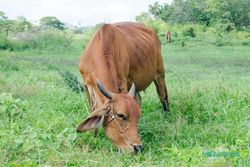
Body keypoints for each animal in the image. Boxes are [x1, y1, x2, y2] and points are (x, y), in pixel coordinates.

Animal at [77, 22, 169, 154]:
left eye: (138, 117)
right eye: (121, 115)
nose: (138, 147)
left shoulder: (123, 81)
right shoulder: (86, 85)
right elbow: (92, 109)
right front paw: (94, 135)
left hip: (159, 73)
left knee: (163, 96)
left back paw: (167, 116)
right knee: (139, 98)